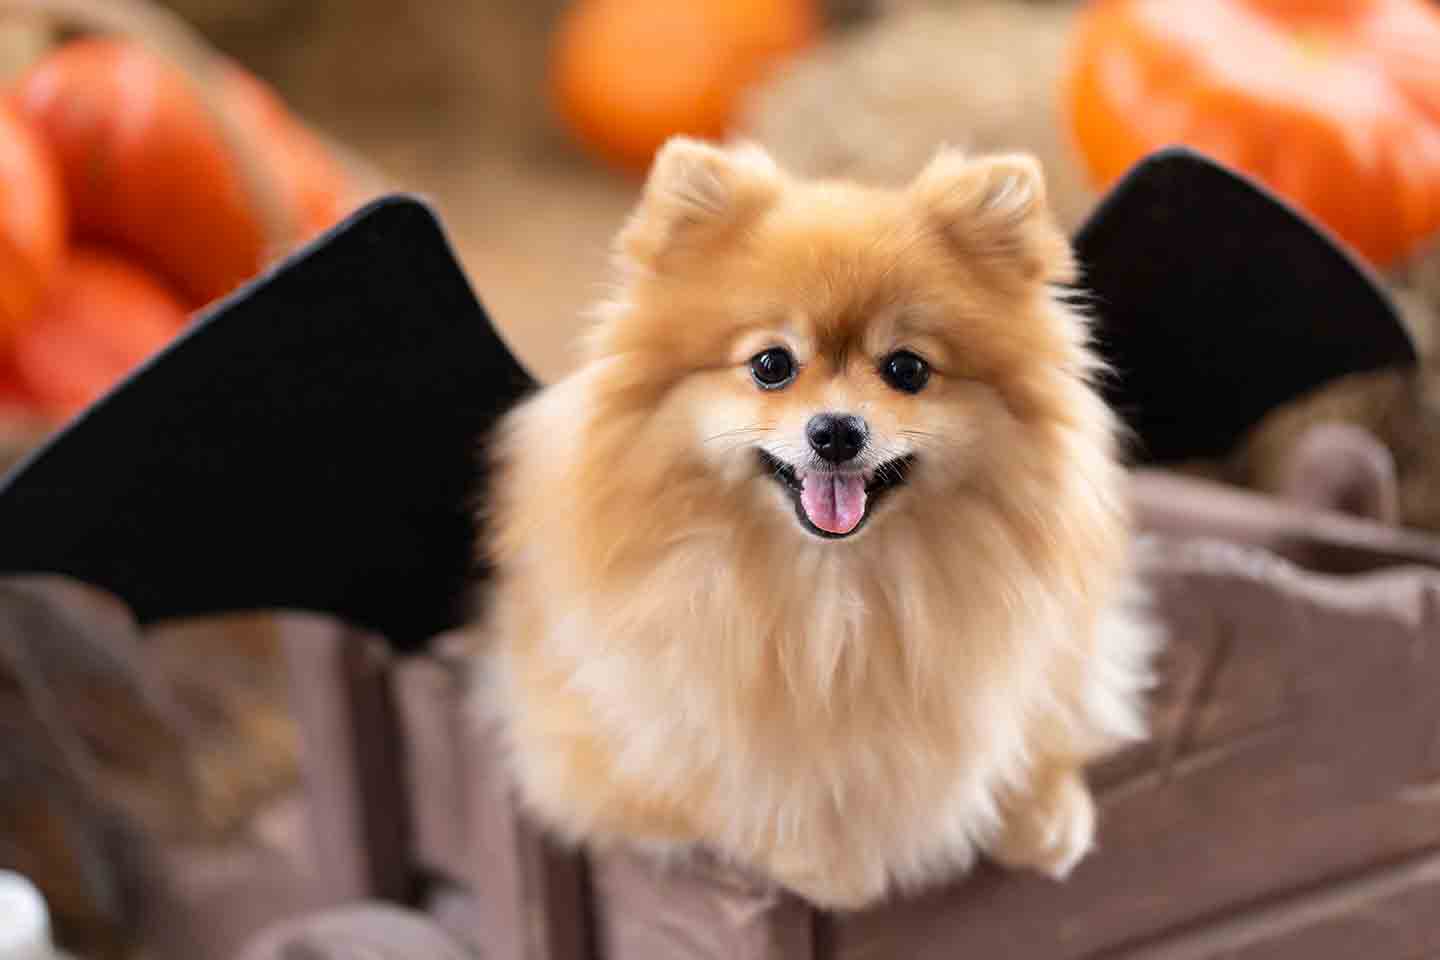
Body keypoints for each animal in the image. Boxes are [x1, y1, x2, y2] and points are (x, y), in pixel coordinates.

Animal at [475, 135, 1157, 909]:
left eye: (907, 369)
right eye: (771, 364)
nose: (835, 430)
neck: (838, 603)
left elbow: (1046, 719)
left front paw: (1043, 813)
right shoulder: (591, 742)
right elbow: (721, 789)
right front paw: (825, 860)